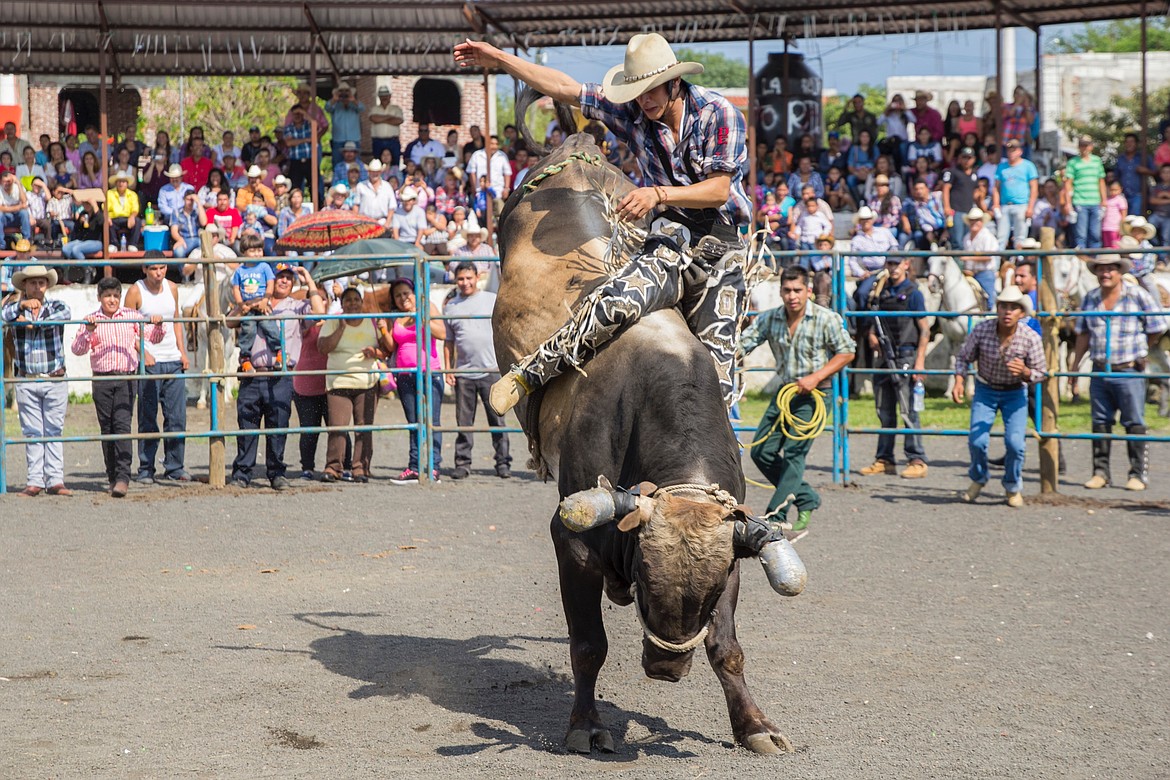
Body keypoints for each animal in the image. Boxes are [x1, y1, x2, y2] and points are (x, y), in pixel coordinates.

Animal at [491, 94, 804, 753]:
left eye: (704, 597)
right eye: (647, 580)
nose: (665, 668)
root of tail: (578, 145)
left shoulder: (733, 547)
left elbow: (727, 648)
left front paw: (754, 725)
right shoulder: (572, 541)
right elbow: (588, 645)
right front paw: (586, 726)